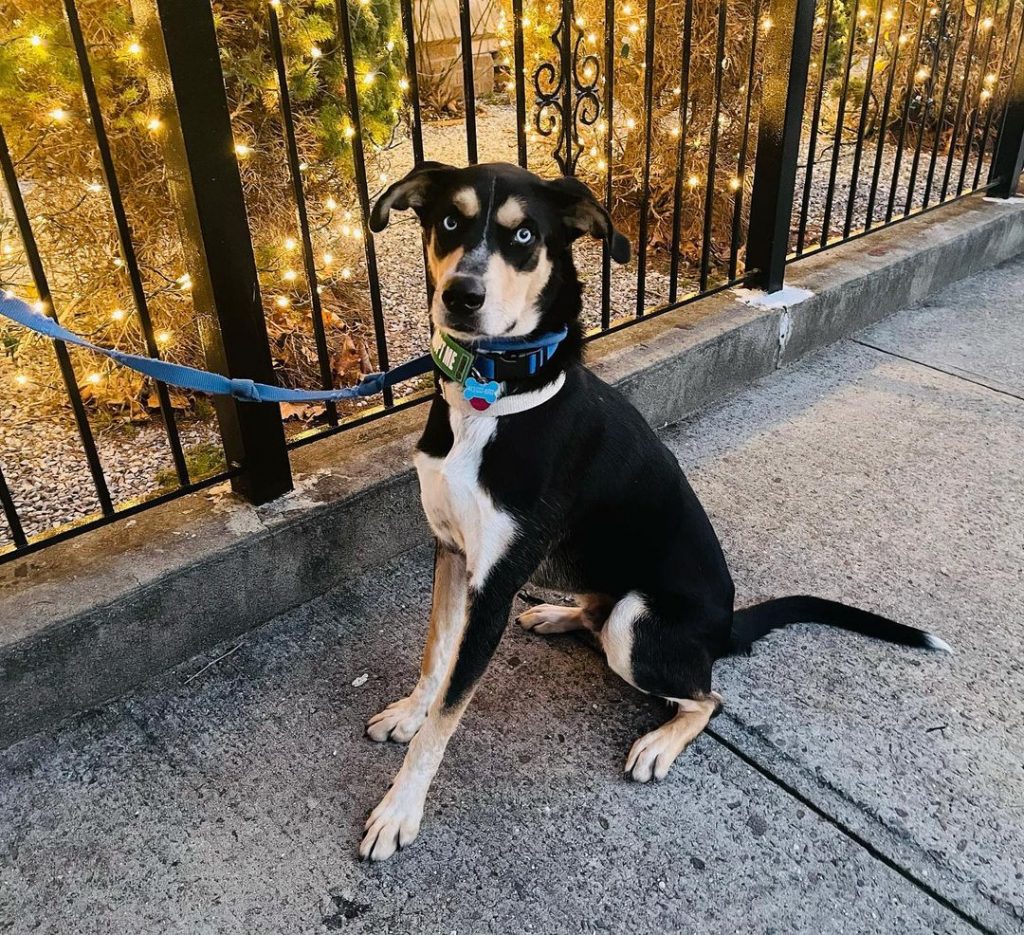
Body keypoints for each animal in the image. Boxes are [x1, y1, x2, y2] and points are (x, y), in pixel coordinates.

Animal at [360, 158, 950, 860]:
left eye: (525, 235)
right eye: (450, 221)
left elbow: (448, 713)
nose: (461, 295)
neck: (494, 394)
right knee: (603, 618)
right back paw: (559, 614)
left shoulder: (494, 585)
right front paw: (408, 712)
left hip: (637, 625)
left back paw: (659, 742)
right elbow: (434, 655)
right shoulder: (451, 551)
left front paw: (400, 810)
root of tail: (725, 626)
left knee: (707, 697)